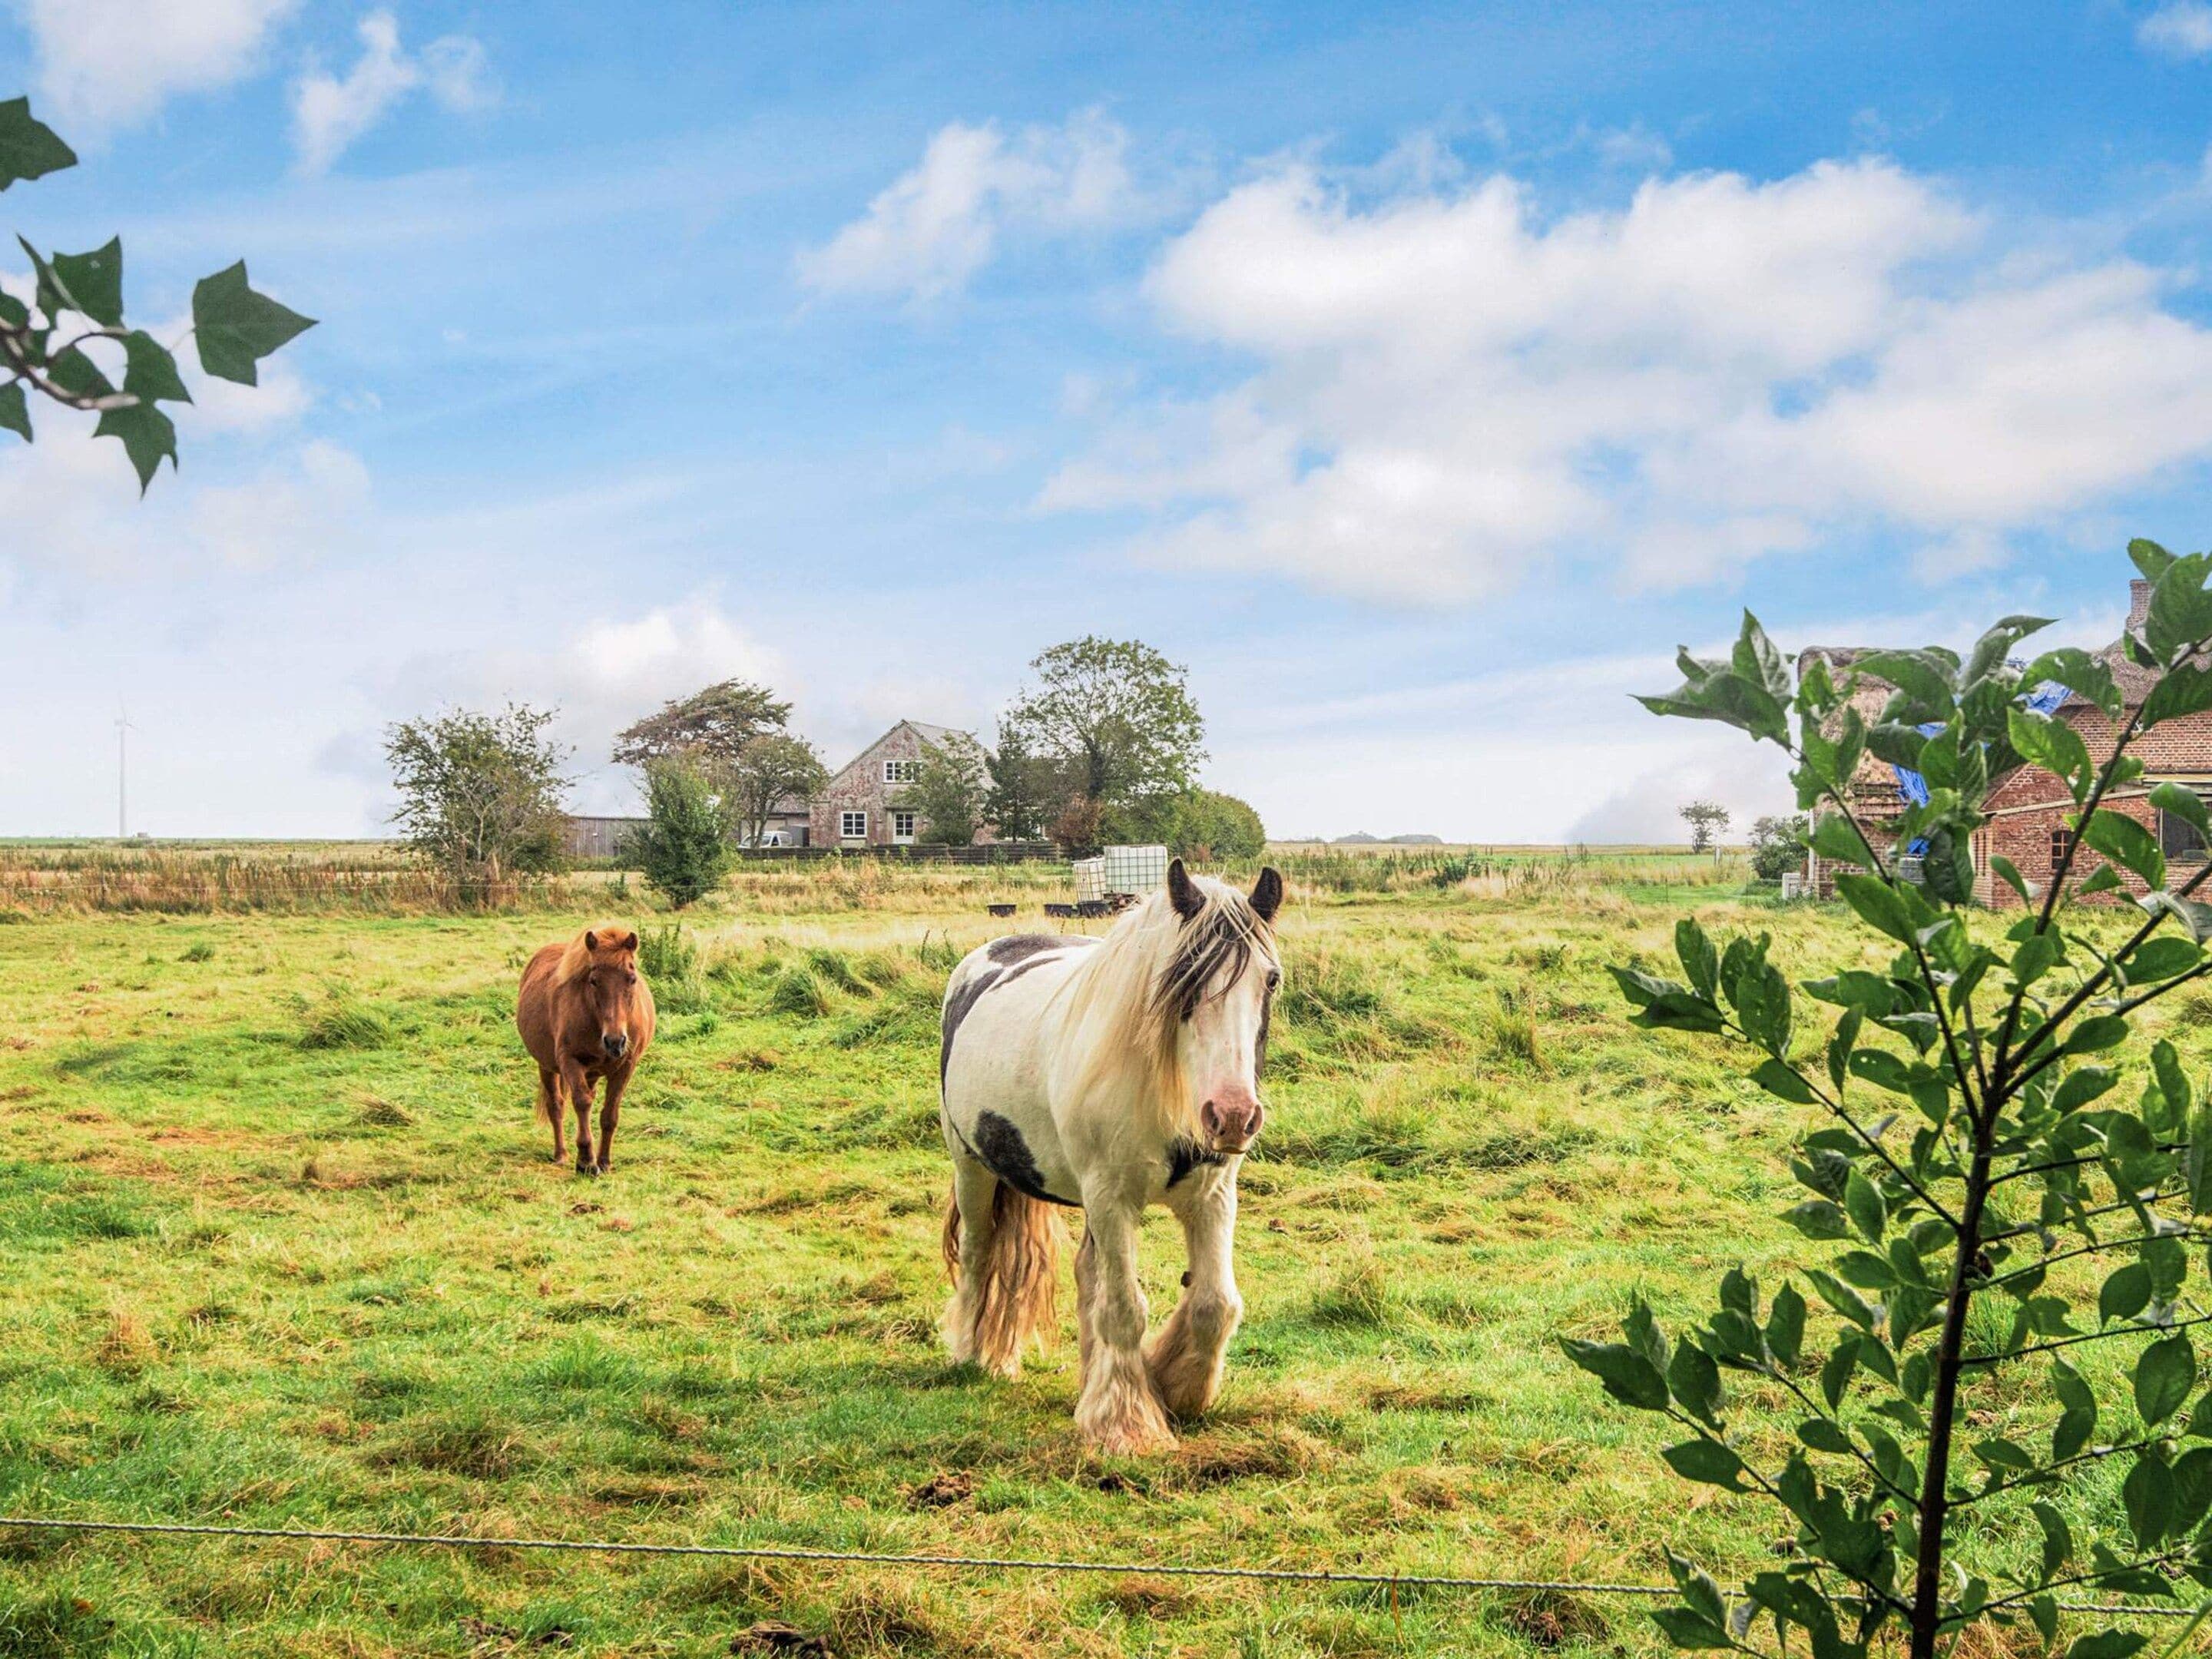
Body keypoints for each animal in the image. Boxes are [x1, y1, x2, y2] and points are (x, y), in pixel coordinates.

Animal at [516, 925, 656, 1177]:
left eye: (632, 979)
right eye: (593, 980)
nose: (615, 1041)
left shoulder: (626, 1066)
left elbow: (610, 1113)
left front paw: (605, 1161)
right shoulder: (570, 1061)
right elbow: (581, 1103)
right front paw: (586, 1162)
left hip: (591, 1073)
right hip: (546, 1066)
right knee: (556, 1106)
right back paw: (561, 1155)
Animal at [938, 858, 1283, 1454]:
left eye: (1272, 979)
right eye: (1184, 976)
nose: (1234, 1116)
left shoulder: (1213, 1198)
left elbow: (1215, 1303)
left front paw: (1176, 1388)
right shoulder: (1112, 1198)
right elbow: (1124, 1309)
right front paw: (1127, 1423)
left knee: (1085, 1275)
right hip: (973, 1168)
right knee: (979, 1253)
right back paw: (975, 1354)